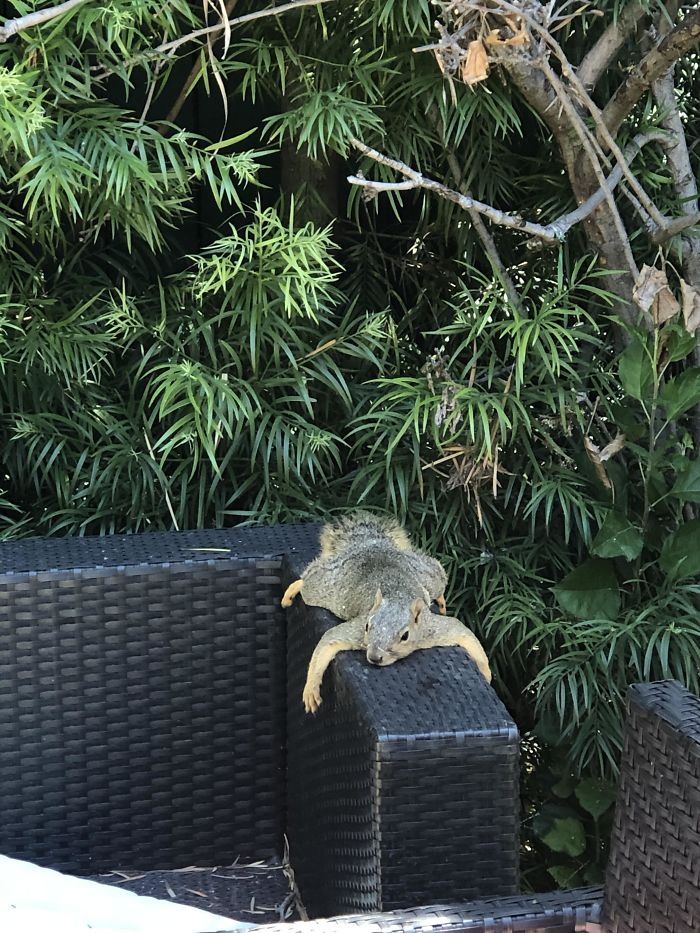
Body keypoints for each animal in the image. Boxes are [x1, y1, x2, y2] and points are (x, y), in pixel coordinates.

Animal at [281, 511, 492, 713]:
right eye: (367, 626)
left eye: (405, 636)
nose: (374, 657)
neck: (398, 599)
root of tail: (373, 545)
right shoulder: (358, 629)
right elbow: (329, 641)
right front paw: (311, 688)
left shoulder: (430, 629)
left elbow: (463, 632)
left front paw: (486, 672)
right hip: (327, 585)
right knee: (310, 578)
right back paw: (294, 588)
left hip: (428, 574)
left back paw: (440, 598)